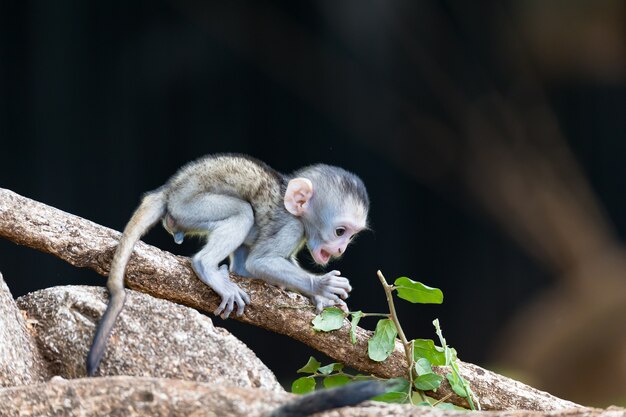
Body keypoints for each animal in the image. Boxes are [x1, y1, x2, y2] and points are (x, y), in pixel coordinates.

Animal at [88, 153, 370, 374]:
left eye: (351, 236)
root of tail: (169, 189)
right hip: (191, 207)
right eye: (339, 231)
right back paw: (207, 268)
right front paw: (321, 286)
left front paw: (319, 297)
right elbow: (261, 261)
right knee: (243, 213)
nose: (341, 248)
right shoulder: (291, 226)